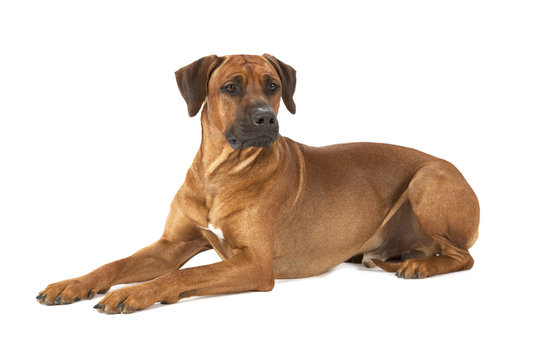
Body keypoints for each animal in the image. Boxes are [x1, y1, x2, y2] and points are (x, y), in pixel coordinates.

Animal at [37, 52, 480, 312]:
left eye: (273, 86)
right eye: (230, 87)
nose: (266, 118)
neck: (220, 174)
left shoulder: (253, 264)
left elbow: (182, 275)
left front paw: (134, 292)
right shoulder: (172, 245)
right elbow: (115, 263)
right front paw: (72, 284)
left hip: (428, 180)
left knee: (463, 257)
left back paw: (420, 265)